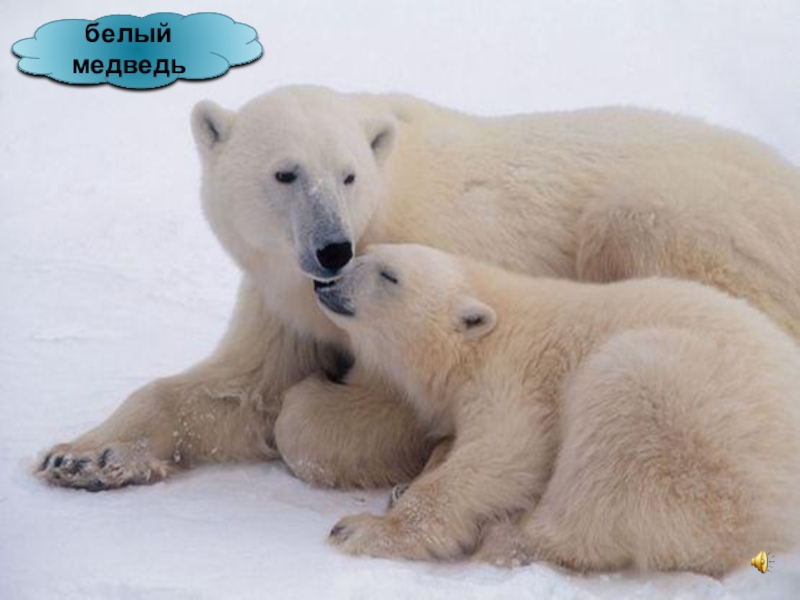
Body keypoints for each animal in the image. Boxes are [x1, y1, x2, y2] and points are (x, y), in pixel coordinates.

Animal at [37, 86, 800, 493]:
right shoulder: (282, 294)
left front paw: (328, 408)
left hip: (693, 212)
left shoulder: (438, 274)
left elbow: (354, 404)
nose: (333, 248)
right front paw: (83, 454)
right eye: (286, 172)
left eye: (347, 175)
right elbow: (238, 386)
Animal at [318, 244, 800, 576]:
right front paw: (413, 478)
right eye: (365, 254)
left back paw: (509, 534)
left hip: (693, 422)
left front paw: (363, 528)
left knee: (609, 456)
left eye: (389, 274)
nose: (328, 282)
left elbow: (502, 455)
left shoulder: (516, 375)